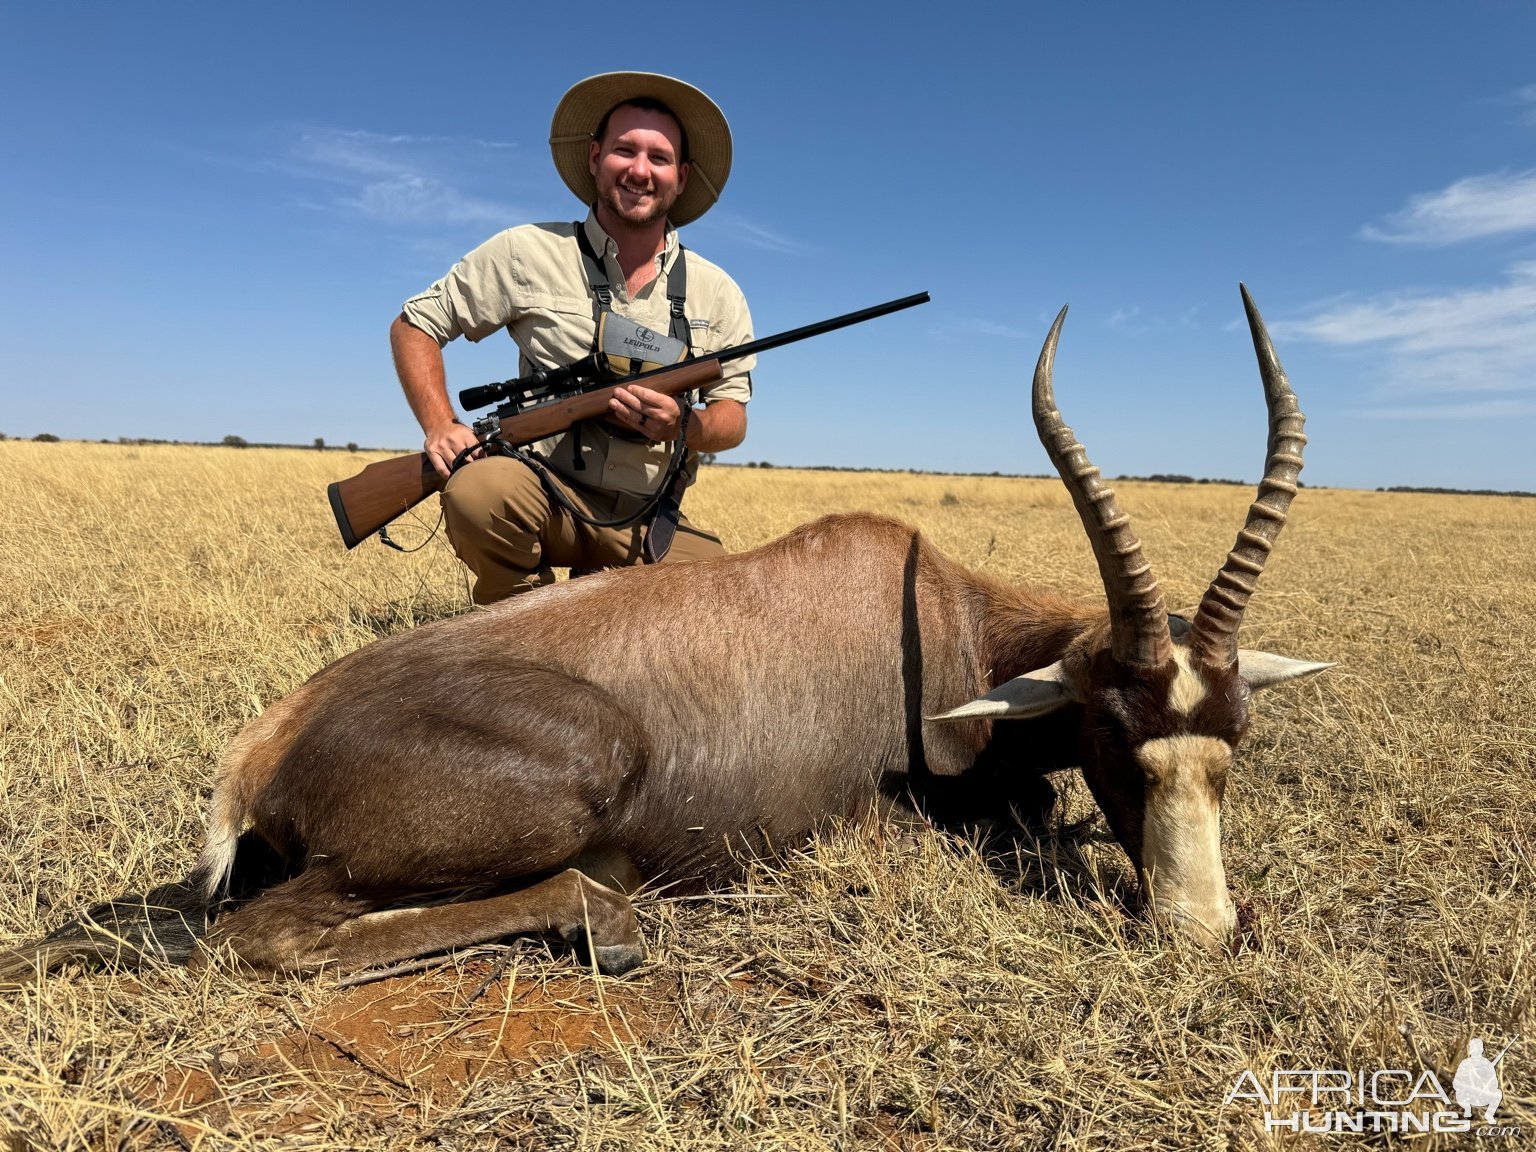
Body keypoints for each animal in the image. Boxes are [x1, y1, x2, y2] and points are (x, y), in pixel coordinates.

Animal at [0, 284, 1327, 976]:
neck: (927, 608)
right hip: (574, 774)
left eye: (1234, 740)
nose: (1201, 931)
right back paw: (610, 919)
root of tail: (269, 742)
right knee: (273, 938)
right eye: (1112, 732)